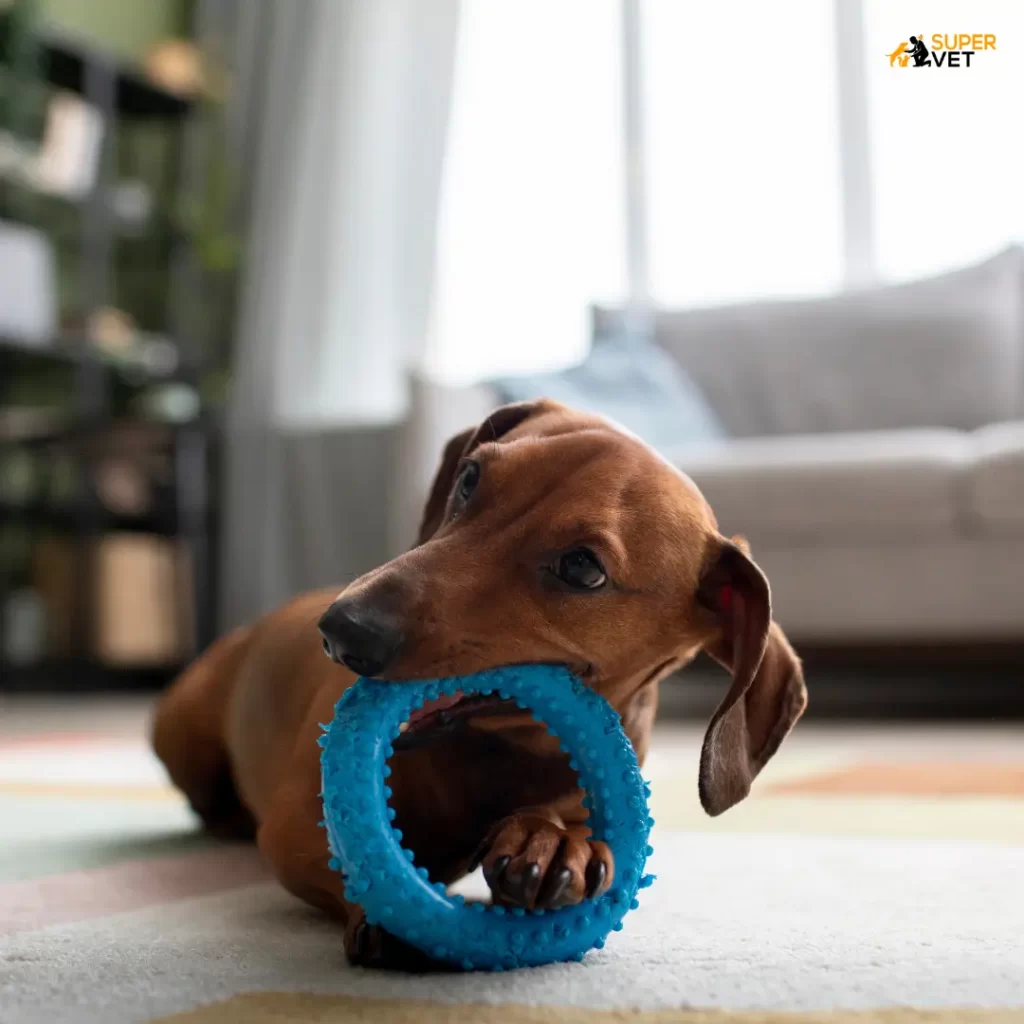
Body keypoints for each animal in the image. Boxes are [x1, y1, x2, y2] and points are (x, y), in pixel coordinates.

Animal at [151, 399, 806, 966]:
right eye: (469, 477)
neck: (498, 755)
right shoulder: (294, 828)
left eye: (583, 568)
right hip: (181, 736)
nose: (341, 630)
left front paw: (553, 840)